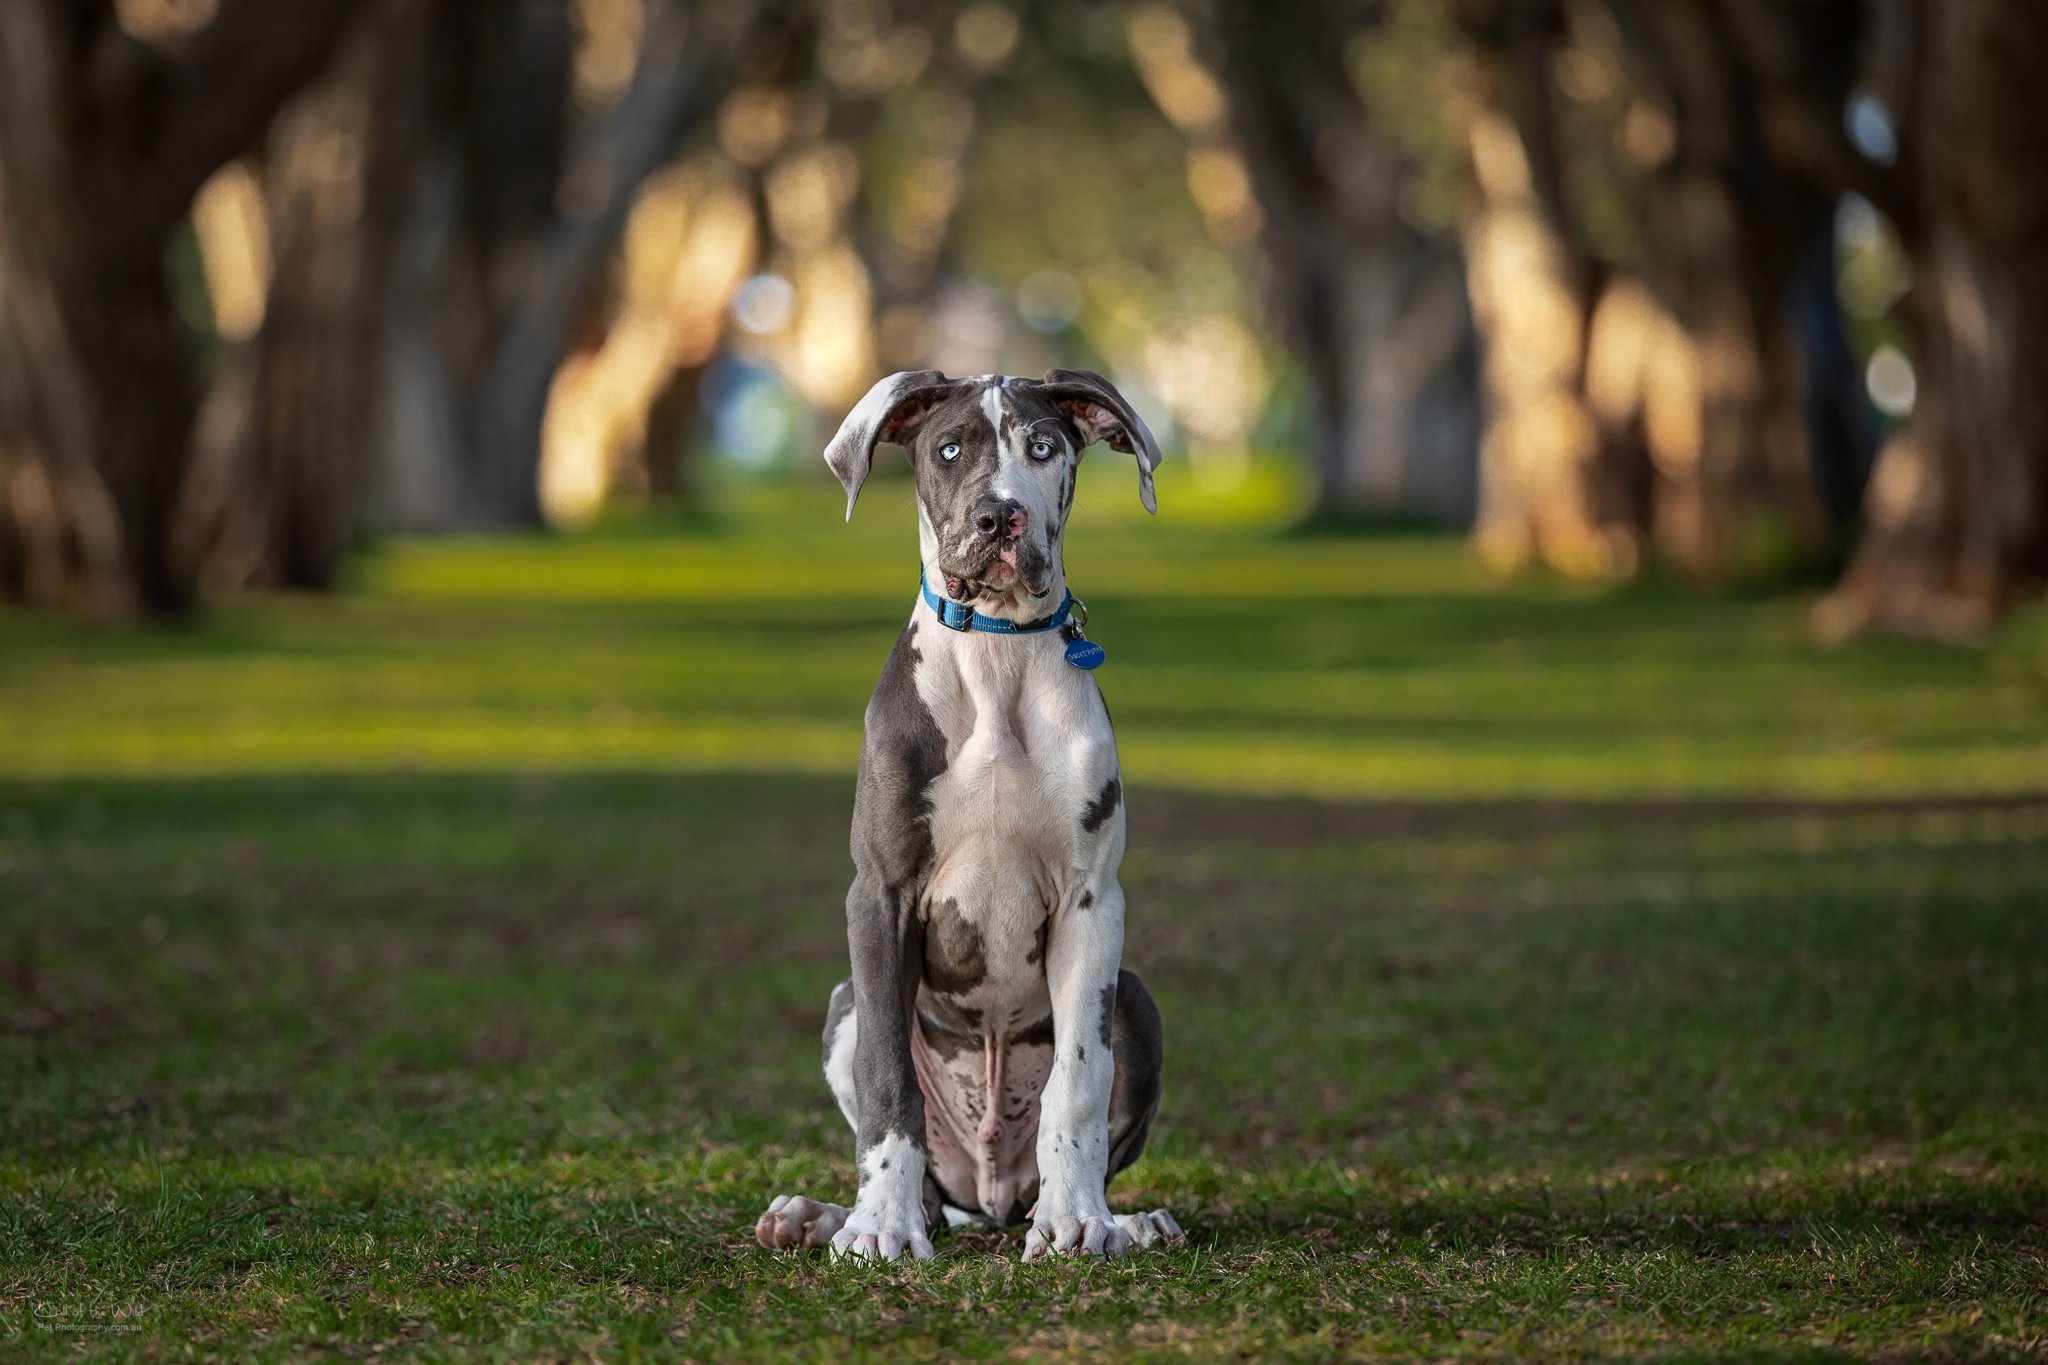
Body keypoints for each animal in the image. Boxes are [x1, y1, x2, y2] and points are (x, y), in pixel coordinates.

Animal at [757, 368, 1187, 1268]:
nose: (1000, 517)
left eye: (1044, 446)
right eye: (950, 449)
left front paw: (1081, 1220)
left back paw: (1124, 1217)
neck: (997, 651)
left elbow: (1079, 1082)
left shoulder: (1093, 899)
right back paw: (821, 1215)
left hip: (1137, 1000)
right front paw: (879, 1227)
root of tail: (986, 1194)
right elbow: (889, 1078)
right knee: (922, 1168)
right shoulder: (879, 894)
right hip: (845, 1001)